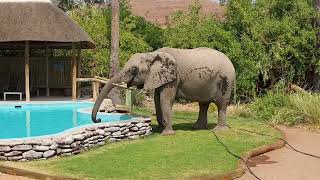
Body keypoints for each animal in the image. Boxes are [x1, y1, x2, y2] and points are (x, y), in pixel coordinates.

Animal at [91, 47, 236, 136]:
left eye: (134, 69)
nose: (98, 119)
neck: (152, 54)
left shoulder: (173, 77)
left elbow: (164, 99)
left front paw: (167, 133)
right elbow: (156, 98)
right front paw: (159, 129)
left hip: (225, 80)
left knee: (221, 104)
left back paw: (219, 130)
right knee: (203, 104)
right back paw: (197, 128)